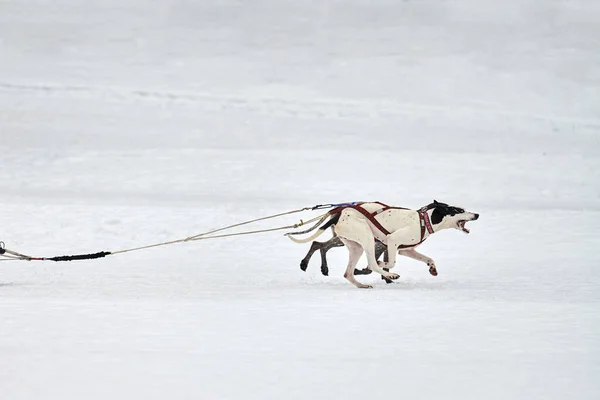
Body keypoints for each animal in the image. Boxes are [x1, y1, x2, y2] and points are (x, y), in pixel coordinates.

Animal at [288, 202, 480, 290]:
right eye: (459, 211)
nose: (477, 214)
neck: (424, 221)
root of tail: (340, 213)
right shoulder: (392, 241)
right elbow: (390, 262)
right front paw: (386, 269)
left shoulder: (407, 250)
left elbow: (429, 258)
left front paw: (432, 268)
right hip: (366, 238)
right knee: (371, 264)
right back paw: (388, 274)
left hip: (356, 246)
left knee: (348, 273)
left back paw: (361, 285)